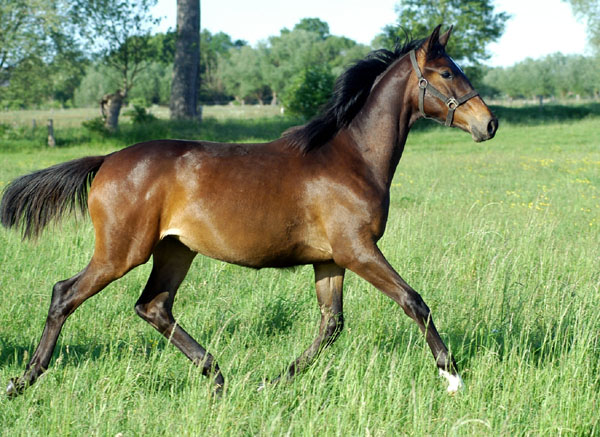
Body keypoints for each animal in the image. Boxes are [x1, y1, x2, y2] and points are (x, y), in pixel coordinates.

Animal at [0, 25, 496, 396]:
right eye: (446, 72)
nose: (488, 124)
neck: (351, 156)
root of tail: (106, 160)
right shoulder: (358, 250)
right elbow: (415, 302)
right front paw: (452, 377)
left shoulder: (330, 260)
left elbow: (331, 325)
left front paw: (272, 382)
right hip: (121, 252)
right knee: (65, 294)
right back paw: (23, 380)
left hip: (174, 250)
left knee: (153, 306)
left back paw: (218, 377)